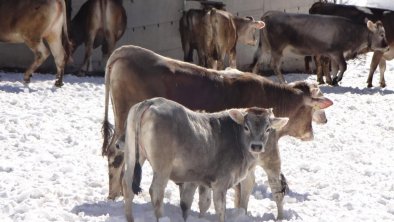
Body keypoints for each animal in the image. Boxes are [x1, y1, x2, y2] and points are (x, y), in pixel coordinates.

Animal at [120, 97, 290, 222]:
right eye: (246, 127)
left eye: (267, 128)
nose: (256, 146)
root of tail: (150, 102)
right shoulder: (221, 182)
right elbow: (220, 208)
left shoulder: (199, 179)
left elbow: (196, 203)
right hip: (162, 167)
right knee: (156, 191)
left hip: (132, 156)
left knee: (127, 185)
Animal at [249, 11, 388, 86]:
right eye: (382, 34)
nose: (387, 47)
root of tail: (270, 14)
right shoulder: (337, 52)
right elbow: (343, 66)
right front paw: (337, 79)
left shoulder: (332, 54)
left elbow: (335, 67)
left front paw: (332, 80)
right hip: (277, 48)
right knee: (275, 65)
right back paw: (284, 83)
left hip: (265, 46)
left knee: (257, 62)